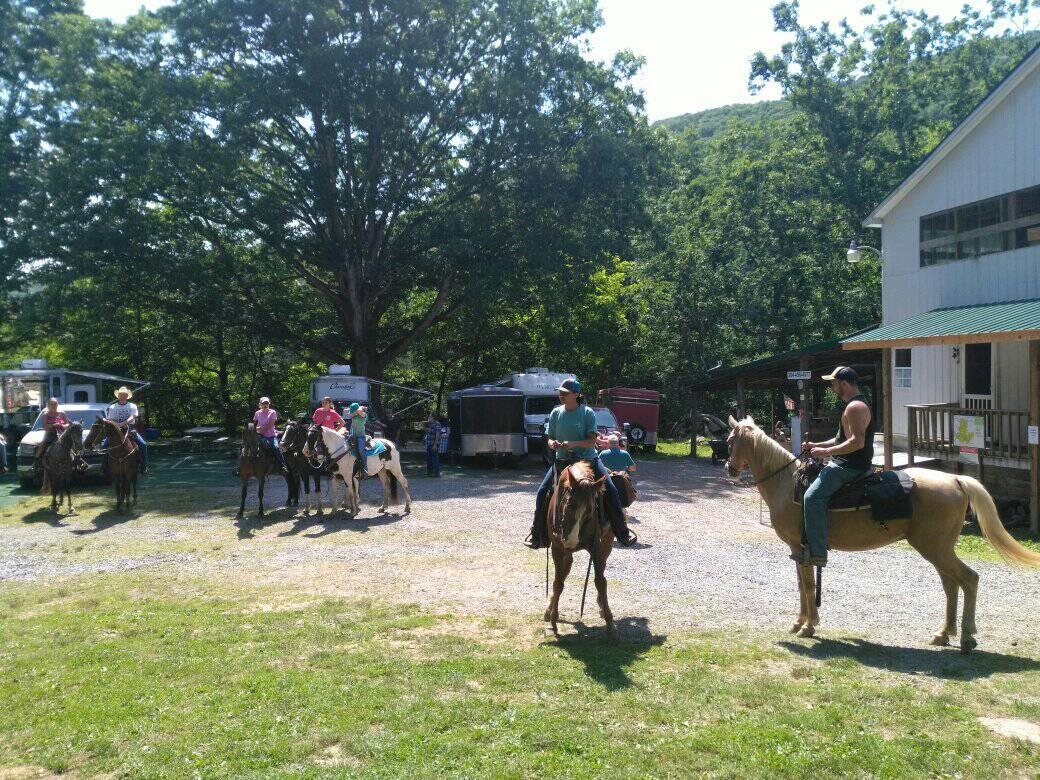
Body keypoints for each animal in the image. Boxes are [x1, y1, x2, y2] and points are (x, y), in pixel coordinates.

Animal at [543, 461, 618, 639]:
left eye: (590, 511)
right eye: (570, 504)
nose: (571, 541)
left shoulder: (595, 547)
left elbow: (600, 581)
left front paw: (610, 624)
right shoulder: (557, 548)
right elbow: (558, 582)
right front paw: (553, 620)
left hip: (607, 542)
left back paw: (602, 607)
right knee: (564, 572)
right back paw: (549, 610)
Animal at [725, 415, 1040, 652]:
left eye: (730, 441)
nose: (729, 468)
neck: (788, 483)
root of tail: (956, 480)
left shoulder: (802, 548)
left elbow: (808, 586)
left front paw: (808, 625)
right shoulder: (797, 550)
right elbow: (803, 586)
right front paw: (800, 623)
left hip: (936, 548)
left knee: (969, 579)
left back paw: (966, 637)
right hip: (939, 550)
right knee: (951, 585)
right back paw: (943, 634)